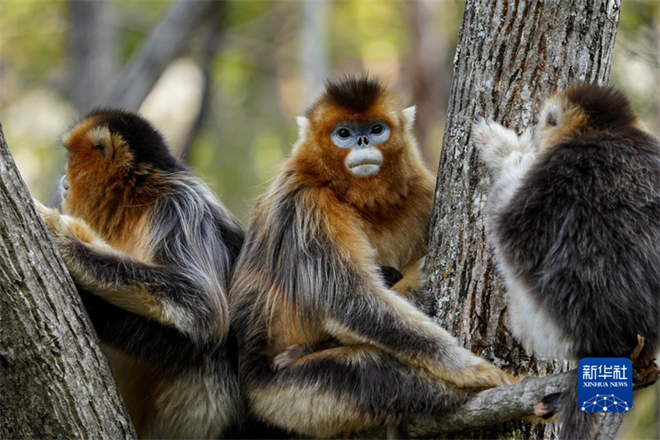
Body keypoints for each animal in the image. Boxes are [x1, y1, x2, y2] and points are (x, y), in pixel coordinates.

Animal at [34, 109, 245, 436]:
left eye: (69, 160)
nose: (63, 181)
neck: (136, 202)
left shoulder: (178, 208)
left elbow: (201, 304)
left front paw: (64, 238)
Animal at [229, 74, 508, 438]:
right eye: (343, 134)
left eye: (377, 129)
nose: (362, 140)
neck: (354, 196)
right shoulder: (309, 205)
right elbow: (349, 305)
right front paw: (469, 368)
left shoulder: (419, 189)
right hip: (279, 398)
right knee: (375, 374)